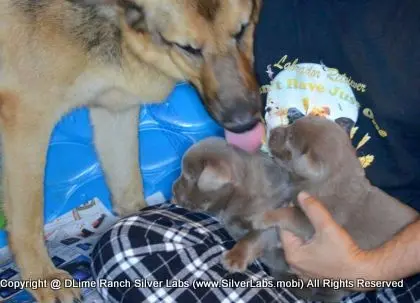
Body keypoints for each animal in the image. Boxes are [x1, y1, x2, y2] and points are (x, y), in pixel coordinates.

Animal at [0, 0, 262, 302]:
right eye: (188, 48)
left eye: (241, 30)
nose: (245, 124)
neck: (113, 18)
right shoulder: (27, 121)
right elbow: (28, 219)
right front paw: (43, 276)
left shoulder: (116, 110)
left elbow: (128, 185)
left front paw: (143, 216)